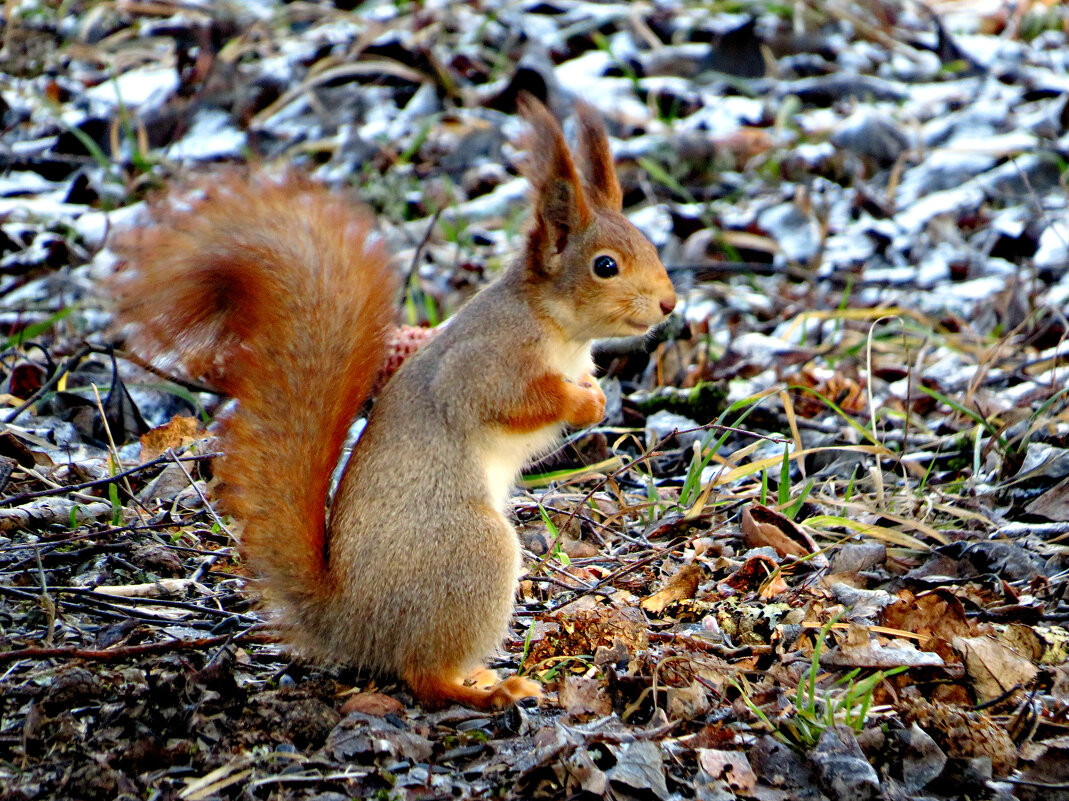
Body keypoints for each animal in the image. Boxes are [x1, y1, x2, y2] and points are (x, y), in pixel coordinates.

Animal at [110, 96, 675, 710]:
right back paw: (490, 691)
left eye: (648, 244)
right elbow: (511, 400)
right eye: (605, 266)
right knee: (423, 675)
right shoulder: (484, 365)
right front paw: (579, 404)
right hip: (474, 553)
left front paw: (594, 397)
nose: (670, 303)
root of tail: (350, 620)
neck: (558, 328)